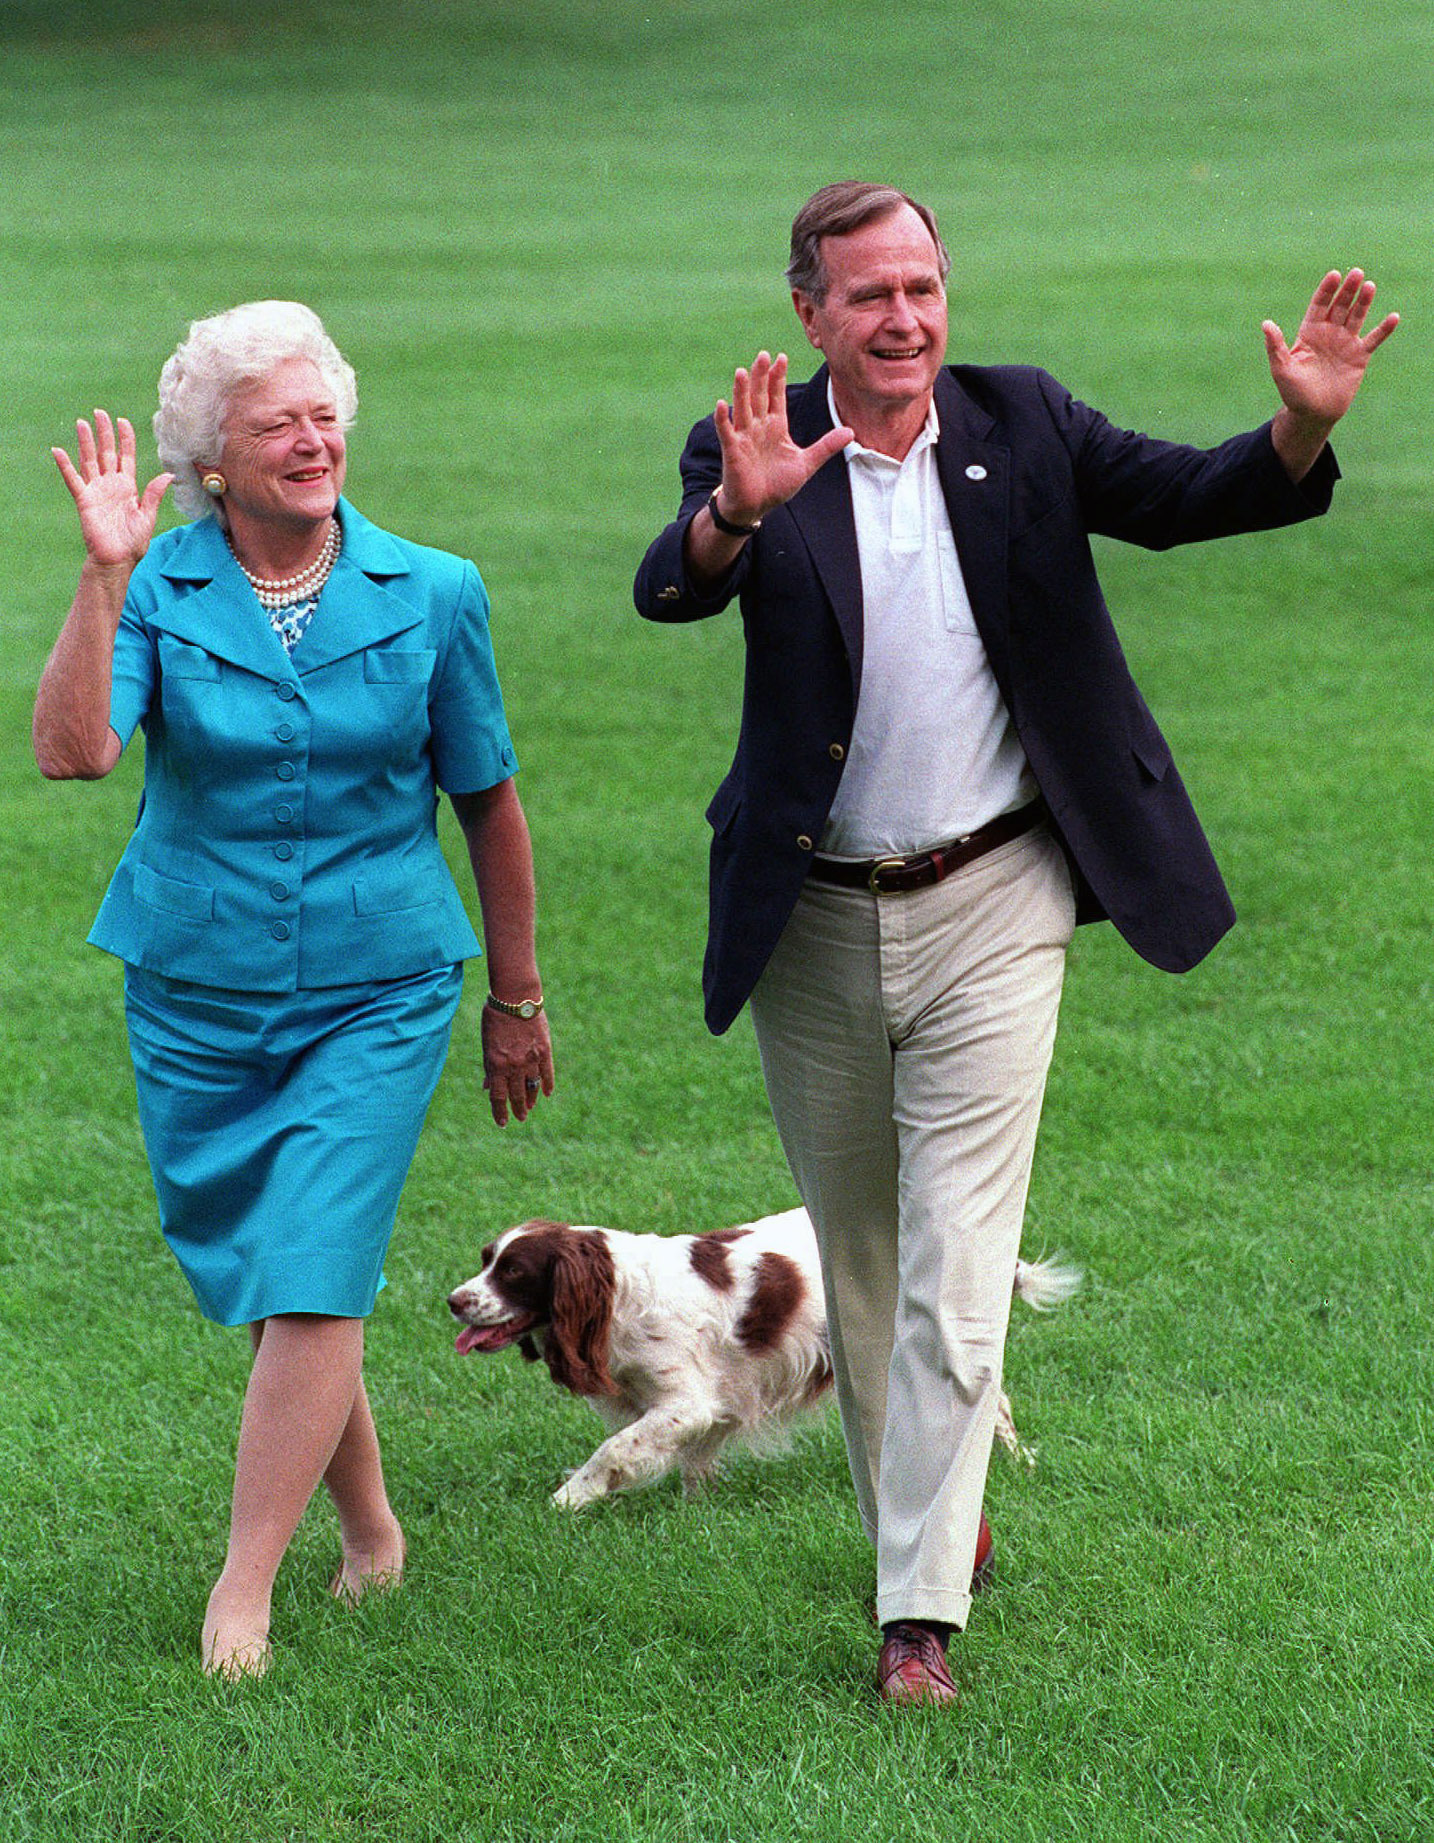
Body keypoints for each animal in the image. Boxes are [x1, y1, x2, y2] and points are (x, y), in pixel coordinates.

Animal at [446, 1201, 1076, 1503]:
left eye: (513, 1271)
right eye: (485, 1258)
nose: (453, 1301)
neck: (621, 1293)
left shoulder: (686, 1401)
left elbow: (614, 1449)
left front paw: (569, 1498)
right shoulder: (716, 1399)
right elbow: (694, 1463)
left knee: (995, 1407)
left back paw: (1019, 1465)